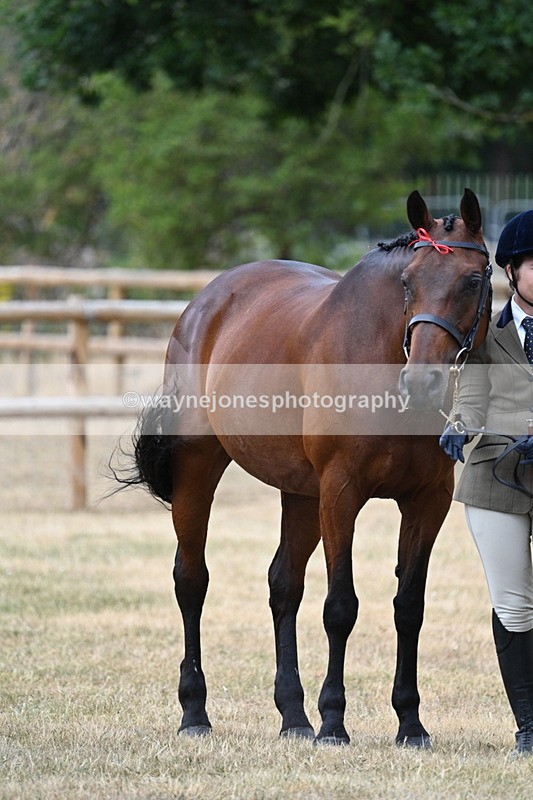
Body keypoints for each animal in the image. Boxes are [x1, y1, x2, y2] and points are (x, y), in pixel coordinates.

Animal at [122, 189, 492, 747]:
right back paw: (195, 713)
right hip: (199, 470)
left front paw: (410, 723)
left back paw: (293, 716)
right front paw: (334, 722)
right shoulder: (341, 493)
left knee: (284, 585)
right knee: (191, 580)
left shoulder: (427, 501)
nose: (422, 381)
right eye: (408, 281)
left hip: (300, 494)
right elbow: (340, 607)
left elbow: (409, 606)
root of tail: (206, 301)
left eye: (473, 280)